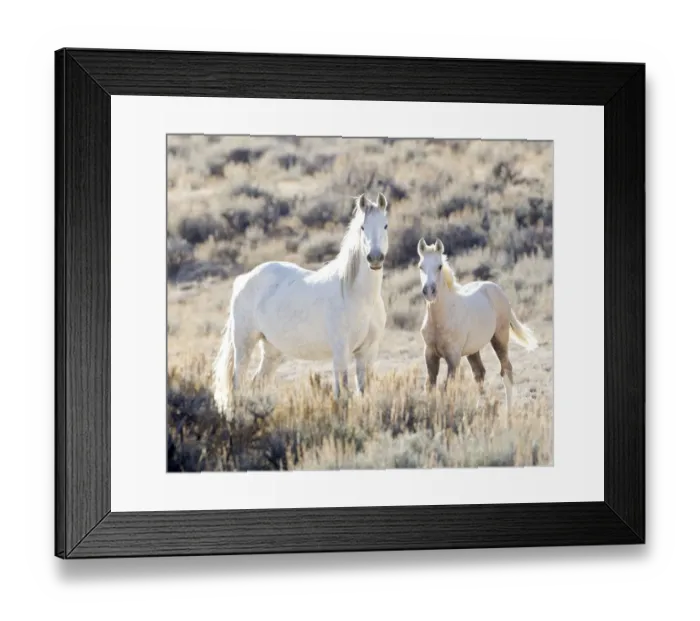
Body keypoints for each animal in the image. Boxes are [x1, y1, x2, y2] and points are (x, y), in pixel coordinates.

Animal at [212, 193, 390, 414]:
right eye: (362, 227)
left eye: (385, 225)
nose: (375, 258)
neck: (360, 298)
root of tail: (243, 279)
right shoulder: (341, 352)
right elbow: (342, 395)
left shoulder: (368, 352)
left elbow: (363, 392)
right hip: (244, 344)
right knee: (237, 385)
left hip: (272, 350)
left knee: (257, 383)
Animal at [416, 237, 538, 415]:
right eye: (421, 266)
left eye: (439, 266)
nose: (429, 291)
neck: (441, 319)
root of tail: (498, 290)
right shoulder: (430, 355)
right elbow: (430, 387)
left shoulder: (453, 358)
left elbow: (447, 388)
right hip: (473, 350)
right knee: (479, 373)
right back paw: (476, 409)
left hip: (500, 339)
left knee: (506, 370)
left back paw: (508, 413)